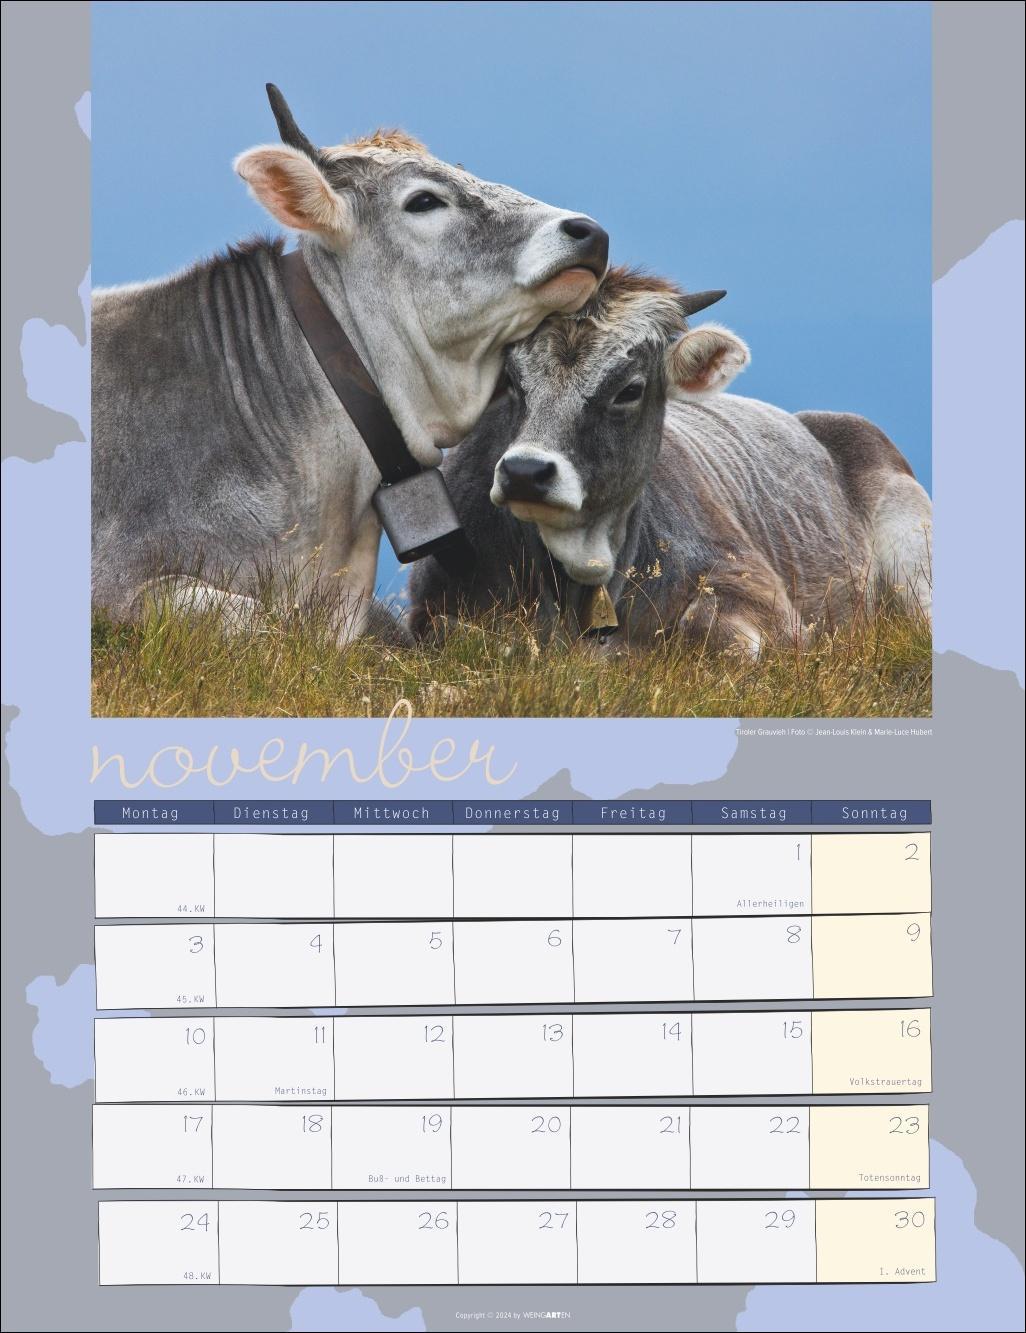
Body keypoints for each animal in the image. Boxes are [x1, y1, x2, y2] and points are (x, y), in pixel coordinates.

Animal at [408, 267, 932, 652]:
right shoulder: (430, 610)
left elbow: (711, 628)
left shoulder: (760, 593)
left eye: (630, 389)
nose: (524, 472)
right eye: (512, 382)